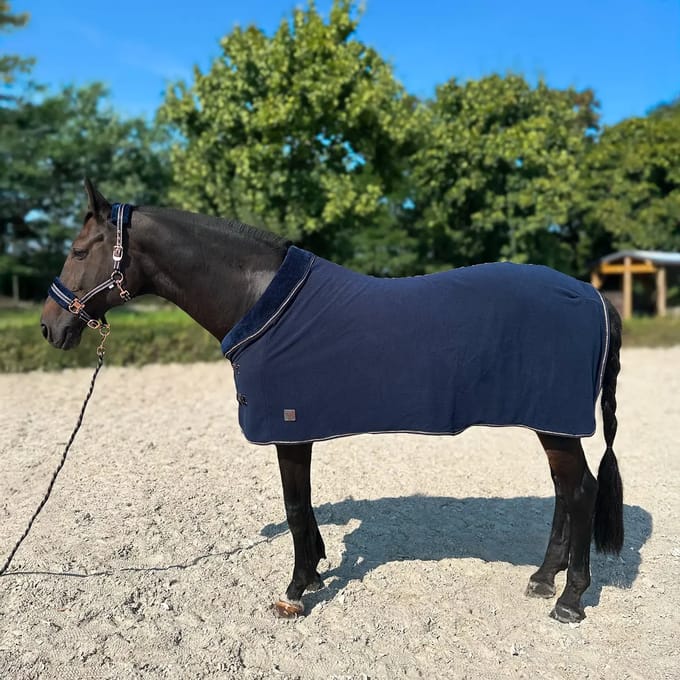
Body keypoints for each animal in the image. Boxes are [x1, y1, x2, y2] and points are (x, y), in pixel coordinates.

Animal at [40, 179, 624, 623]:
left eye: (78, 251)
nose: (50, 327)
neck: (258, 298)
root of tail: (595, 295)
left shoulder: (287, 426)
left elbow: (296, 506)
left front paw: (297, 590)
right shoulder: (299, 428)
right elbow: (305, 506)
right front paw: (317, 570)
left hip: (556, 422)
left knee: (580, 493)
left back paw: (570, 599)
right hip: (550, 423)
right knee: (565, 491)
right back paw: (543, 578)